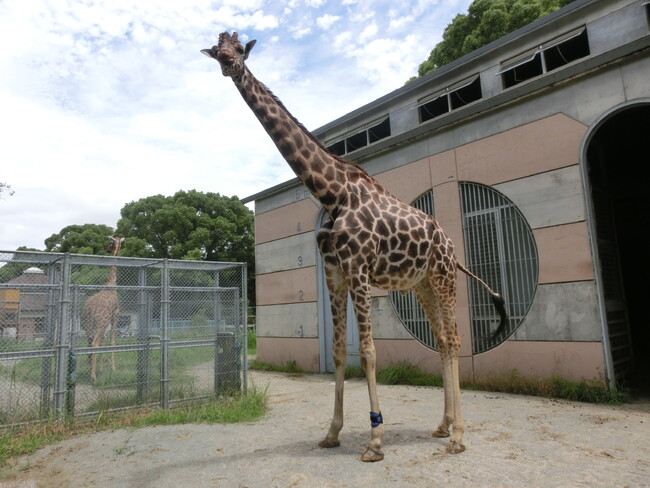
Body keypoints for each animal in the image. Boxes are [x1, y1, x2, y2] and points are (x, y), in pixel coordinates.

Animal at [81, 236, 124, 382]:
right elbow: (112, 342)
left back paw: (90, 370)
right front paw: (113, 368)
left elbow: (104, 342)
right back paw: (93, 376)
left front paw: (101, 369)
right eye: (111, 243)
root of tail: (90, 307)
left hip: (88, 323)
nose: (107, 248)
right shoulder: (115, 315)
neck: (111, 284)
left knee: (90, 342)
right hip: (102, 321)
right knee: (94, 343)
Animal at [199, 31, 506, 462]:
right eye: (217, 49)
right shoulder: (334, 271)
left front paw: (375, 440)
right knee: (444, 341)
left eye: (240, 49)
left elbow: (369, 351)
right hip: (422, 286)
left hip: (444, 277)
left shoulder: (358, 268)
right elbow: (340, 350)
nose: (229, 64)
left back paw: (459, 435)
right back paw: (443, 425)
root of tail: (450, 247)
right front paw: (332, 432)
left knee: (457, 339)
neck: (332, 194)